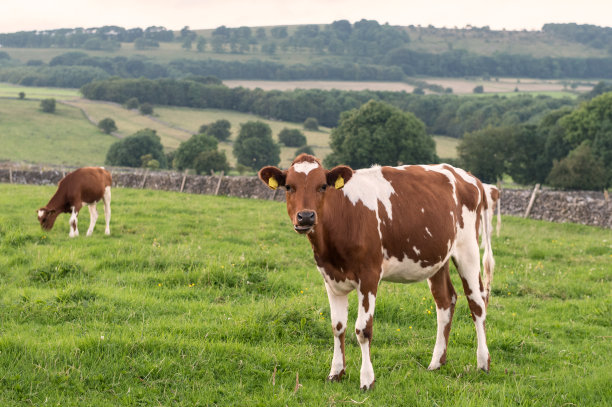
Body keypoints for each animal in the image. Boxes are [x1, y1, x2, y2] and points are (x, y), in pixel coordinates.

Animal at [256, 155, 492, 390]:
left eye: (322, 186)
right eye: (289, 186)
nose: (305, 217)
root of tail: (468, 176)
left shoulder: (369, 276)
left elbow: (363, 330)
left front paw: (367, 380)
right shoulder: (330, 278)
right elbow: (337, 326)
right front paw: (336, 373)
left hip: (468, 249)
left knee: (477, 304)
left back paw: (483, 362)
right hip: (438, 258)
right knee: (445, 301)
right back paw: (436, 363)